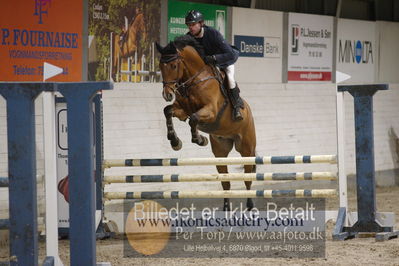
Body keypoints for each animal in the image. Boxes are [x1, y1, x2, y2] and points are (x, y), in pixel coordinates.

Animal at [156, 35, 256, 211]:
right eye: (160, 66)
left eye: (174, 65)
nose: (167, 94)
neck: (194, 79)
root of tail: (249, 112)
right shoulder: (182, 111)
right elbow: (168, 111)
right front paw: (175, 141)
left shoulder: (211, 111)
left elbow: (194, 119)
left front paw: (199, 139)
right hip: (220, 153)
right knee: (225, 182)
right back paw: (226, 208)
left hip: (247, 149)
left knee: (248, 179)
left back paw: (250, 206)